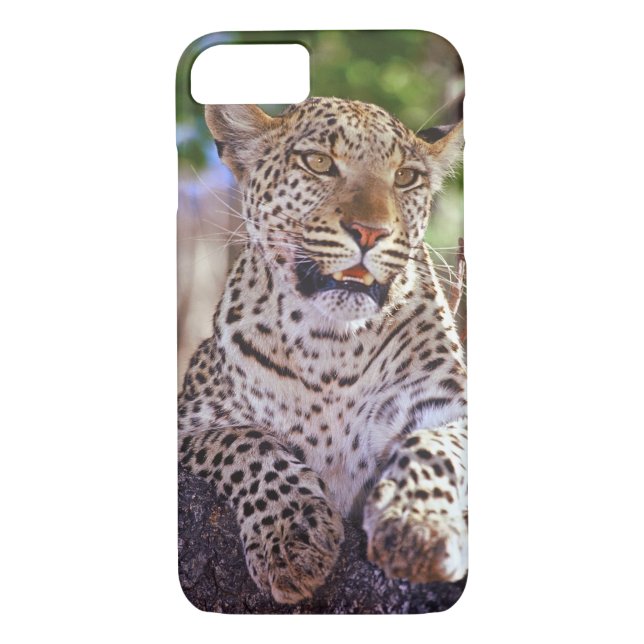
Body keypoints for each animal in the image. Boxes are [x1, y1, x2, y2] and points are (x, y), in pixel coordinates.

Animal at [178, 96, 467, 605]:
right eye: (318, 163)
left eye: (405, 177)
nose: (370, 232)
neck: (332, 347)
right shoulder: (190, 422)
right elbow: (243, 442)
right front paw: (290, 536)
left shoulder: (446, 403)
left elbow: (434, 446)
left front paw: (415, 527)